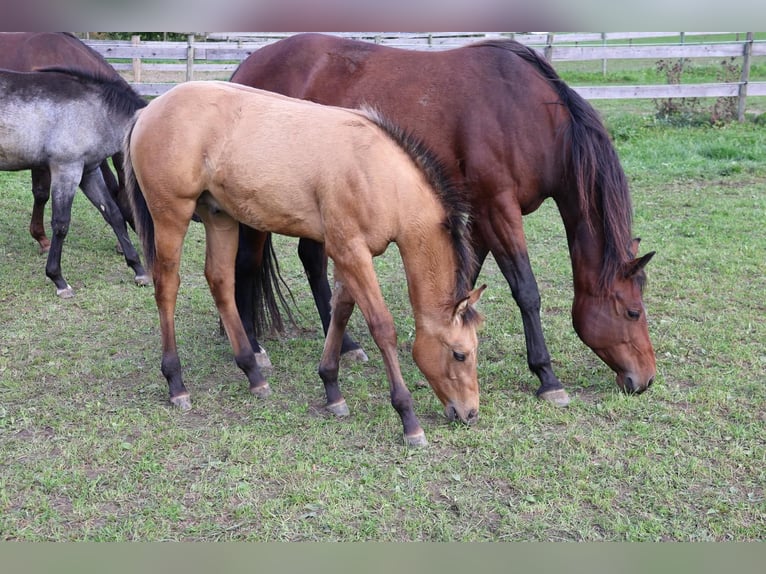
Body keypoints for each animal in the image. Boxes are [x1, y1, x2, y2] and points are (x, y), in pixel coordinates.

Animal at [0, 68, 149, 297]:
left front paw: (138, 269)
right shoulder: (67, 170)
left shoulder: (89, 171)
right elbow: (61, 224)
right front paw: (58, 279)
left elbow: (114, 215)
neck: (96, 113)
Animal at [123, 81, 485, 447]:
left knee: (220, 281)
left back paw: (253, 374)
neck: (376, 172)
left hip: (219, 216)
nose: (470, 413)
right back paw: (176, 383)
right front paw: (408, 418)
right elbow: (382, 327)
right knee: (167, 287)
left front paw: (332, 389)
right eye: (459, 353)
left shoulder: (347, 254)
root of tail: (147, 111)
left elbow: (340, 311)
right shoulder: (352, 252)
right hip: (172, 215)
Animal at [229, 33, 657, 406]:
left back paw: (347, 346)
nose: (645, 379)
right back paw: (254, 347)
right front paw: (547, 377)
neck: (527, 114)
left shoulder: (481, 215)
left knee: (311, 260)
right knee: (247, 264)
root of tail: (247, 65)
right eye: (632, 312)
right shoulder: (499, 210)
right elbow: (526, 291)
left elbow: (465, 284)